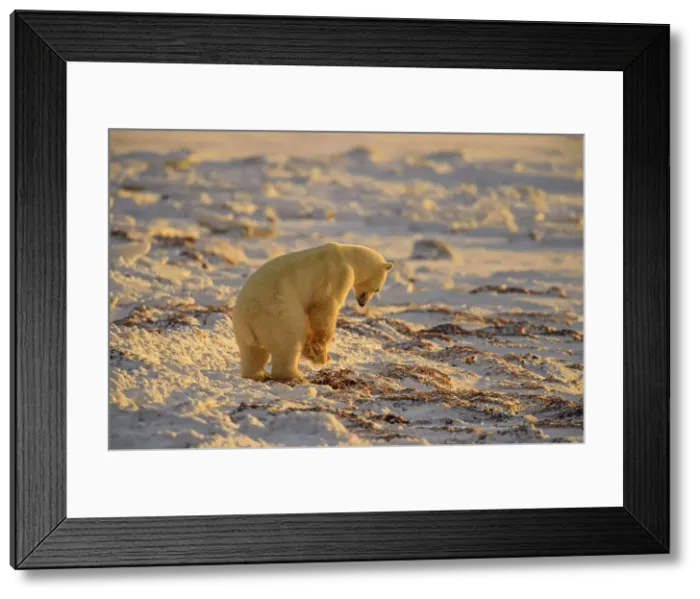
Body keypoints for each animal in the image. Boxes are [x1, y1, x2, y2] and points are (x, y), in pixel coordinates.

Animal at [233, 242, 393, 384]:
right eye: (377, 289)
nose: (362, 303)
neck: (347, 256)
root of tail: (248, 316)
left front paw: (316, 352)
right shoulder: (337, 276)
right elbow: (324, 308)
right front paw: (321, 353)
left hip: (242, 327)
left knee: (252, 352)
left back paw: (256, 375)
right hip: (276, 312)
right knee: (289, 341)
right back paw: (296, 377)